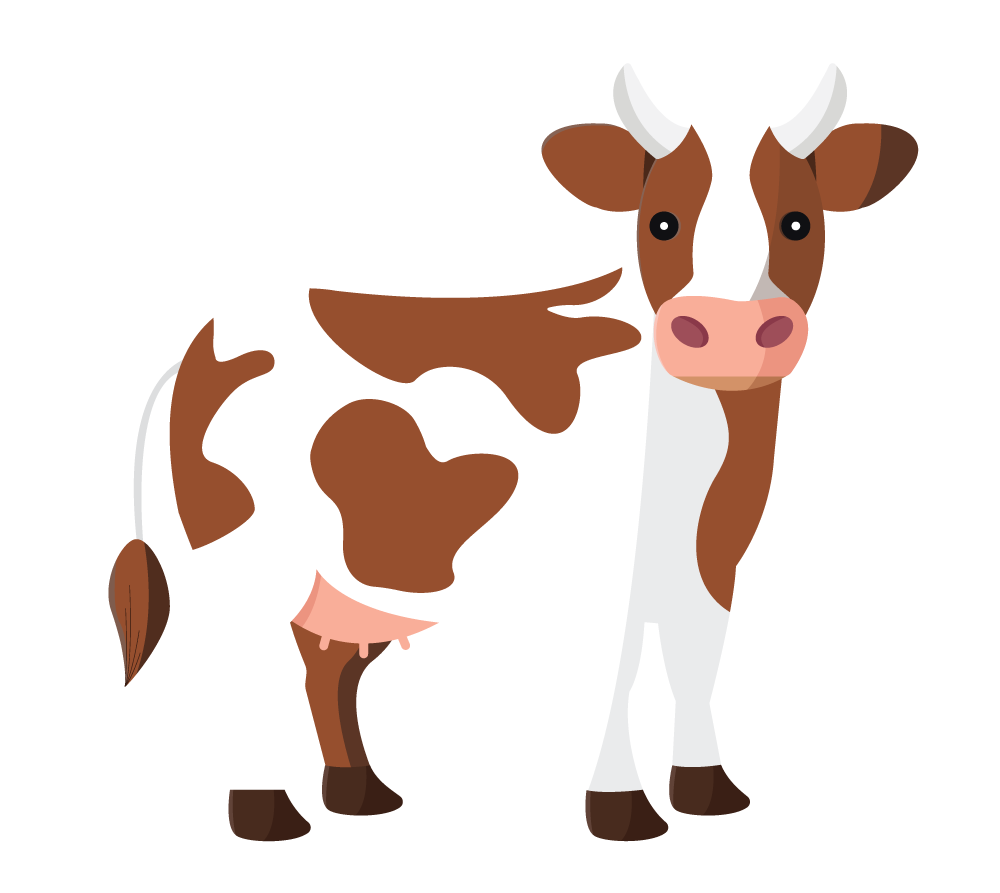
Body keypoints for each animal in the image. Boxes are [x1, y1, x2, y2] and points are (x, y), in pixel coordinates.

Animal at [110, 62, 917, 842]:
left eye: (797, 222)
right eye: (662, 223)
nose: (728, 334)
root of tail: (206, 337)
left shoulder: (712, 563)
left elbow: (696, 662)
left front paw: (707, 791)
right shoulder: (603, 570)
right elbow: (616, 671)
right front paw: (621, 808)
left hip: (341, 571)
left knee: (325, 659)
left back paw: (359, 792)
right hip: (251, 555)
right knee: (231, 652)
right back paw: (266, 809)